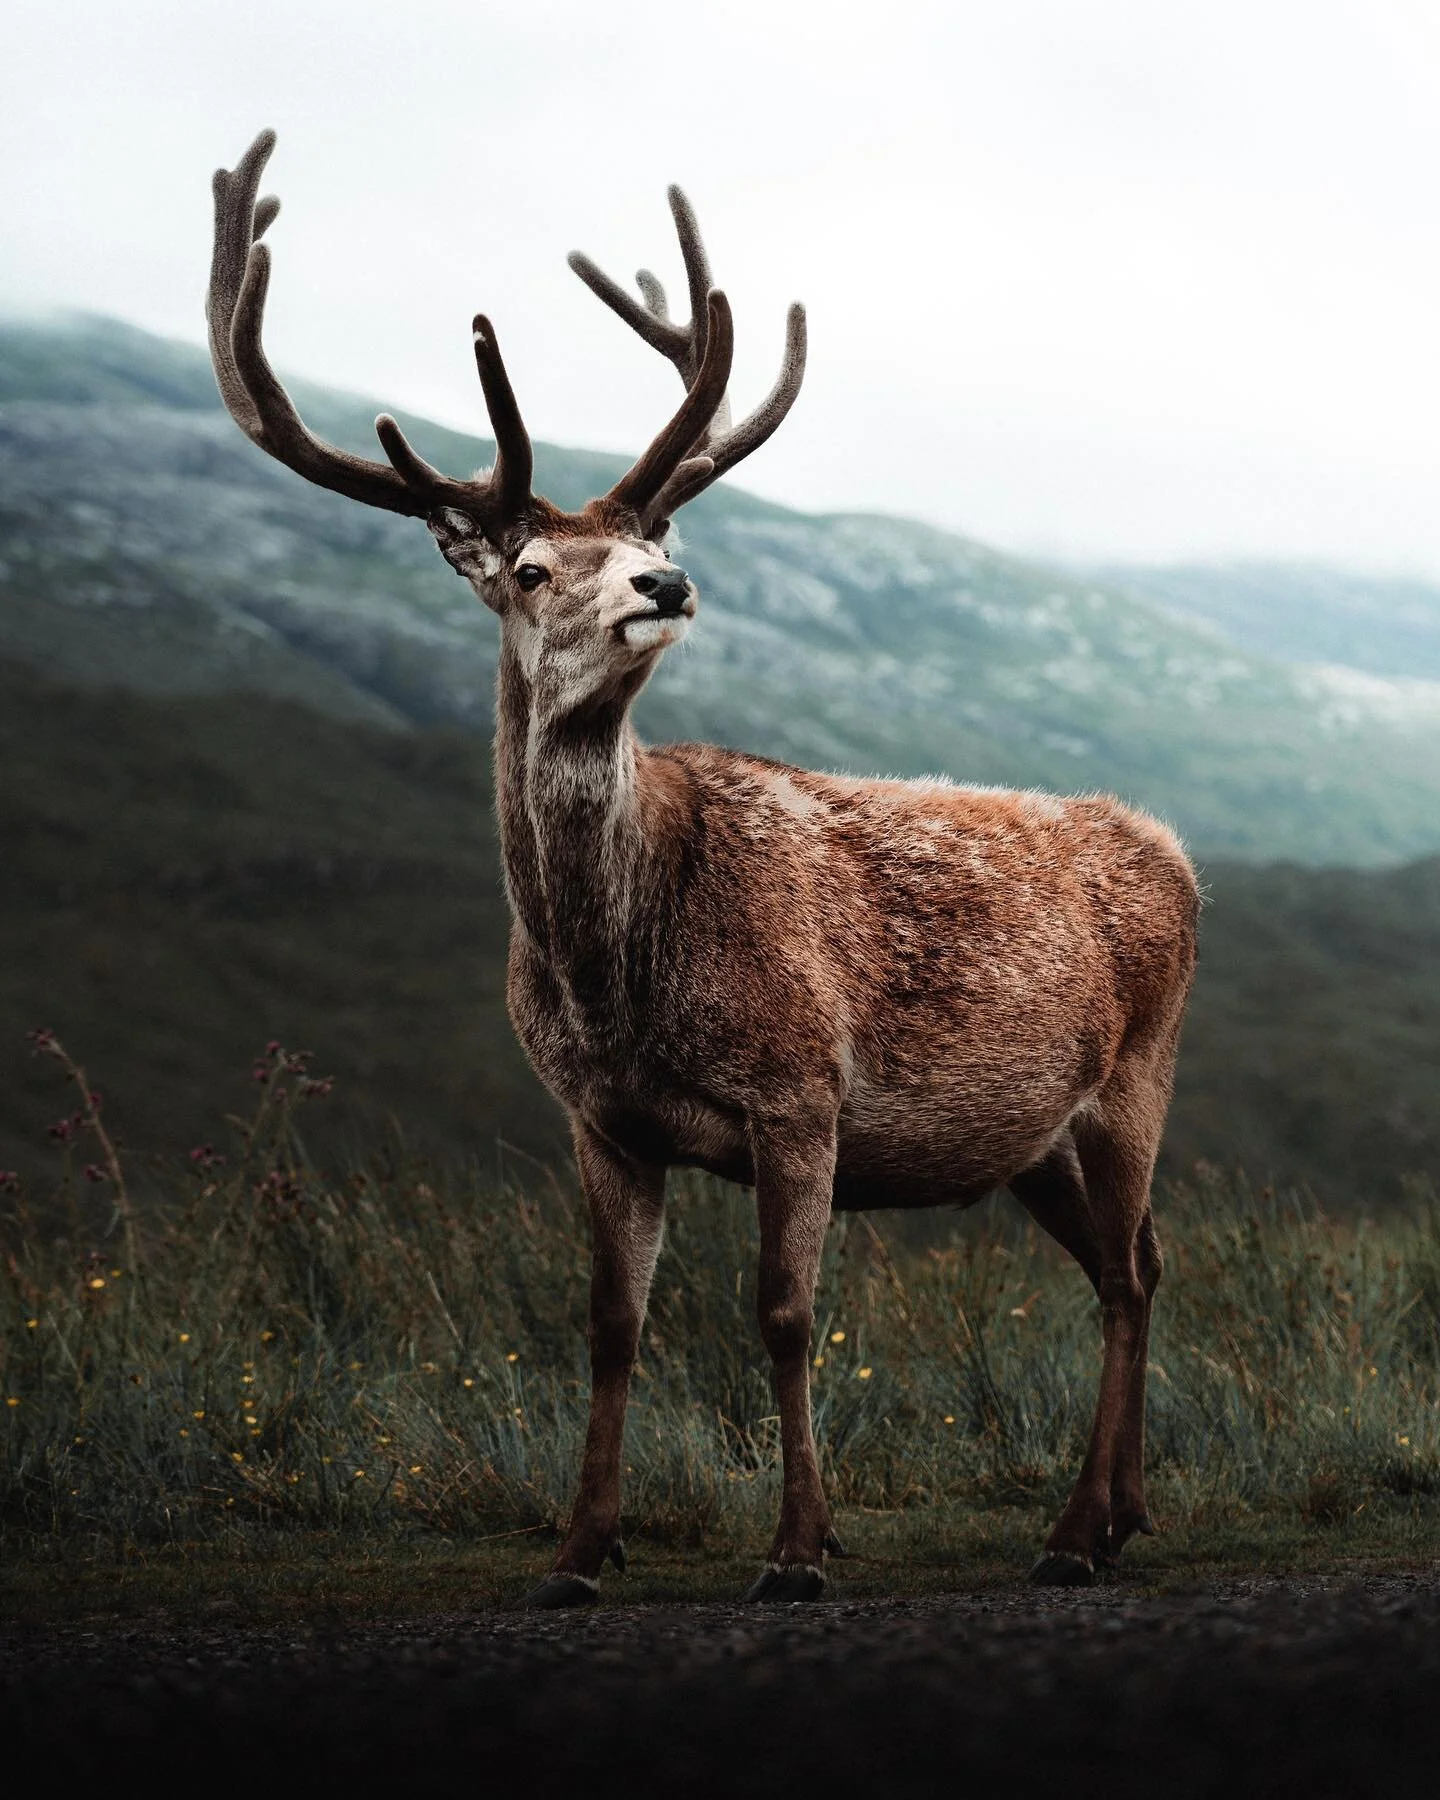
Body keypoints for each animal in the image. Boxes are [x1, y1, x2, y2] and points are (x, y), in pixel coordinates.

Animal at [207, 130, 1198, 1607]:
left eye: (649, 546)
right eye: (532, 566)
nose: (665, 590)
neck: (614, 973)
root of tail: (1175, 852)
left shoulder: (800, 1090)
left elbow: (785, 1314)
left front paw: (797, 1548)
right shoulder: (598, 1118)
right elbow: (611, 1324)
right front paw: (578, 1551)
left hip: (1138, 1072)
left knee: (1132, 1274)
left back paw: (1077, 1534)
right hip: (1028, 1137)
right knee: (1130, 1260)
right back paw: (1122, 1513)